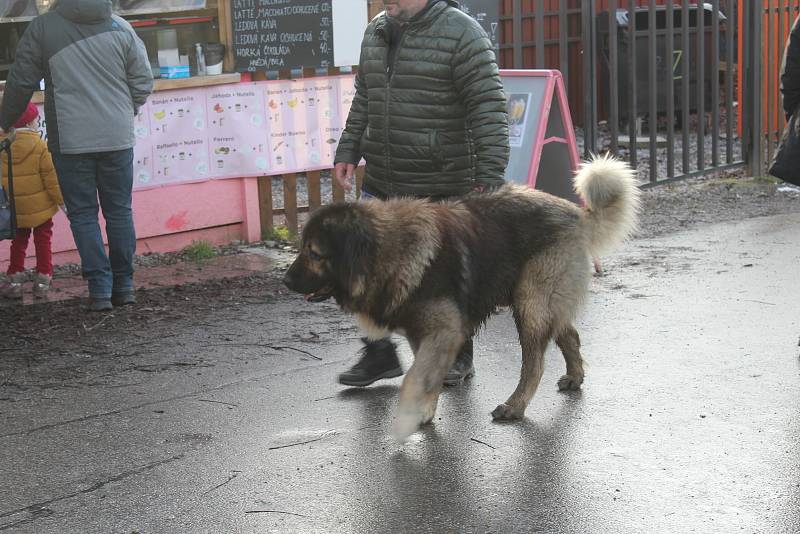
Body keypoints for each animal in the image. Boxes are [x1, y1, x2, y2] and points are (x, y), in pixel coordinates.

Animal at [284, 155, 640, 440]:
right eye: (302, 248)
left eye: (314, 253)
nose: (286, 281)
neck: (388, 252)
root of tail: (576, 213)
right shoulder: (424, 335)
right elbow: (428, 378)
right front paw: (424, 413)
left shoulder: (444, 332)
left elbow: (415, 378)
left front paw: (405, 421)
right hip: (544, 299)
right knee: (569, 334)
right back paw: (574, 376)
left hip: (530, 302)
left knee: (535, 364)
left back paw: (515, 406)